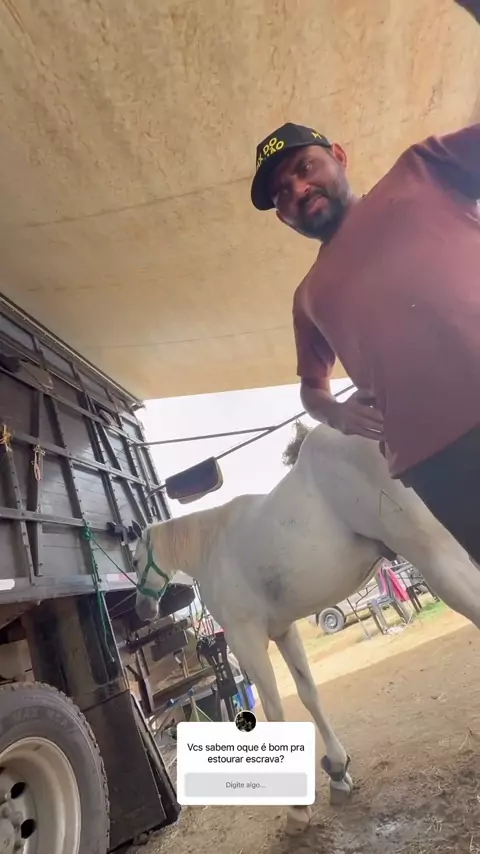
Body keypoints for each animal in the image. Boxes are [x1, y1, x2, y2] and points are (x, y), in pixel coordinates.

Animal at [133, 422, 480, 833]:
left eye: (135, 560)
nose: (141, 608)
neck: (212, 546)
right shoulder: (284, 631)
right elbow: (309, 693)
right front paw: (338, 770)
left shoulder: (246, 639)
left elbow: (273, 708)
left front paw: (297, 806)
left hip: (434, 554)